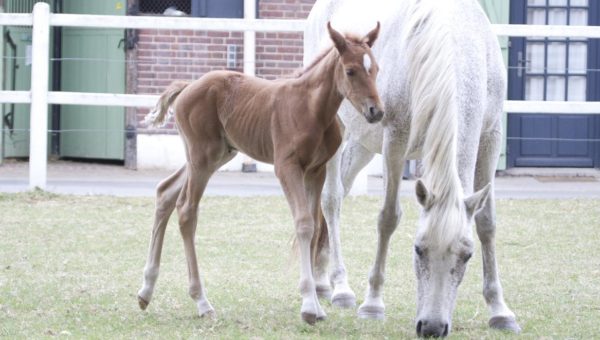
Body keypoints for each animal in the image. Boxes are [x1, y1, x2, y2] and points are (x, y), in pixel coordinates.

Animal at [137, 22, 382, 326]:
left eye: (376, 69)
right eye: (350, 71)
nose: (376, 111)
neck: (311, 108)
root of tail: (187, 87)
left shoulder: (315, 171)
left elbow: (314, 228)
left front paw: (317, 306)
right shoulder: (287, 167)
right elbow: (303, 224)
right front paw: (309, 305)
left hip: (215, 155)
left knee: (165, 192)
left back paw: (146, 290)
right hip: (202, 156)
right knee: (186, 210)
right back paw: (202, 301)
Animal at [304, 0, 520, 336]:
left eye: (467, 255)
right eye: (418, 249)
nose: (431, 327)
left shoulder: (490, 136)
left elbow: (487, 223)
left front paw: (499, 310)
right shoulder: (396, 138)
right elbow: (388, 217)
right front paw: (373, 303)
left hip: (363, 144)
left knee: (341, 188)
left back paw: (322, 281)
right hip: (337, 128)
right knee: (331, 199)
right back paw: (340, 288)